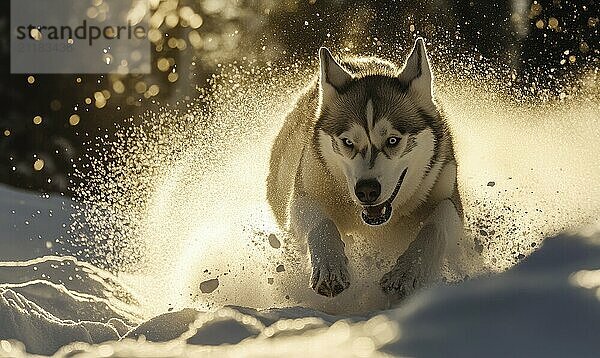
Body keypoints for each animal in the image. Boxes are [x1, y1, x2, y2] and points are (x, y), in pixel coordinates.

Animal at [268, 38, 464, 302]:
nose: (367, 191)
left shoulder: (448, 192)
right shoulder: (304, 192)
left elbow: (436, 225)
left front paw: (406, 273)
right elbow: (321, 224)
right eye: (348, 142)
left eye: (393, 140)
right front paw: (330, 267)